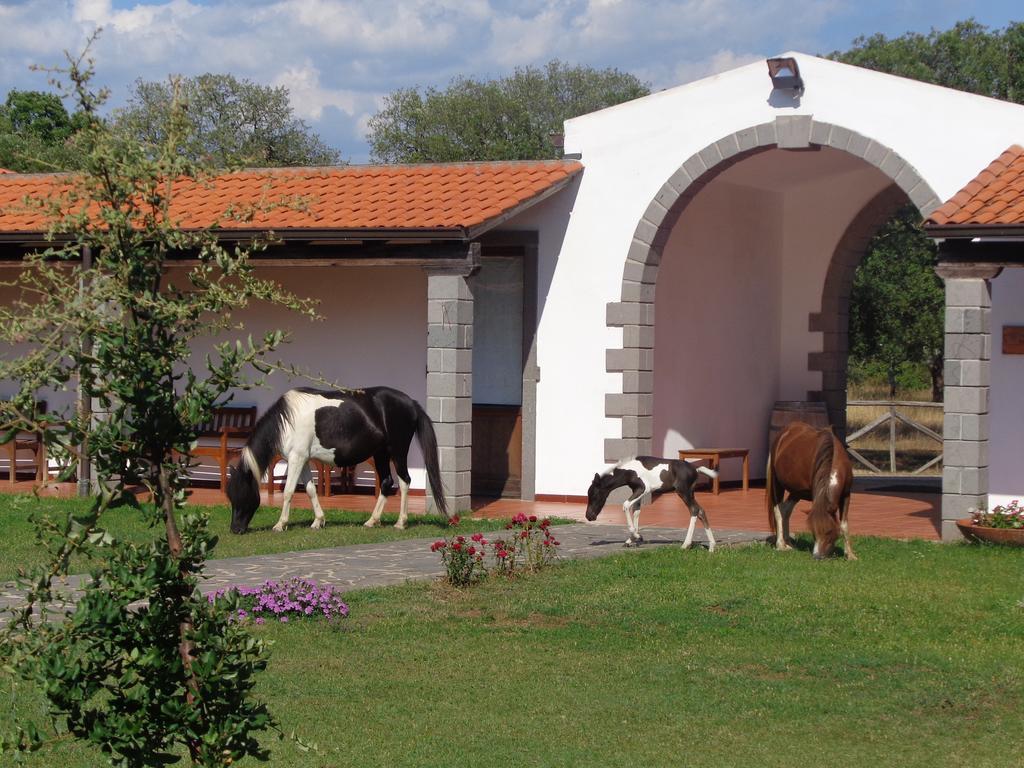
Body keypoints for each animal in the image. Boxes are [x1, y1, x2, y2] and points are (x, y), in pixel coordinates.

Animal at [228, 385, 448, 536]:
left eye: (242, 493)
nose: (235, 529)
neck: (287, 420)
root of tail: (410, 403)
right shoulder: (303, 459)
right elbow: (310, 490)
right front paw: (318, 521)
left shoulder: (296, 458)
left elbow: (289, 491)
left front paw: (280, 524)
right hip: (381, 454)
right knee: (386, 483)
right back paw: (372, 521)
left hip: (398, 452)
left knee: (404, 482)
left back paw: (401, 522)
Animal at [585, 460, 720, 548]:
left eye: (594, 495)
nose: (589, 516)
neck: (628, 471)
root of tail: (695, 469)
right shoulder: (636, 491)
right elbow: (636, 512)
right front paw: (631, 539)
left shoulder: (643, 489)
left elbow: (626, 505)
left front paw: (637, 536)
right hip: (690, 493)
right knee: (701, 511)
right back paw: (712, 546)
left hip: (683, 492)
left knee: (694, 510)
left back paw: (686, 544)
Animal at [770, 423, 856, 561]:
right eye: (813, 531)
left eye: (829, 531)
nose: (817, 556)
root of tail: (786, 431)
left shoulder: (846, 494)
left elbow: (844, 524)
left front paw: (850, 555)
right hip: (777, 483)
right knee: (778, 511)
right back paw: (781, 545)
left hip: (797, 492)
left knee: (786, 510)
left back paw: (788, 542)